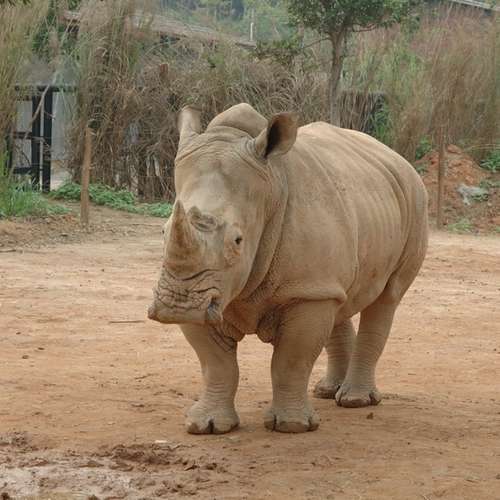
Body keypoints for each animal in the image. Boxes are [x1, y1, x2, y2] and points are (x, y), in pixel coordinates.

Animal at [148, 103, 428, 434]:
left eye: (238, 240)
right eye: (163, 232)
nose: (176, 305)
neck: (269, 191)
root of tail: (398, 158)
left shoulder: (304, 292)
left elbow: (291, 361)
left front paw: (291, 426)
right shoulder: (206, 291)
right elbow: (217, 364)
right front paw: (208, 426)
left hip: (415, 200)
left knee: (387, 297)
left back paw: (355, 401)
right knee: (340, 298)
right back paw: (327, 391)